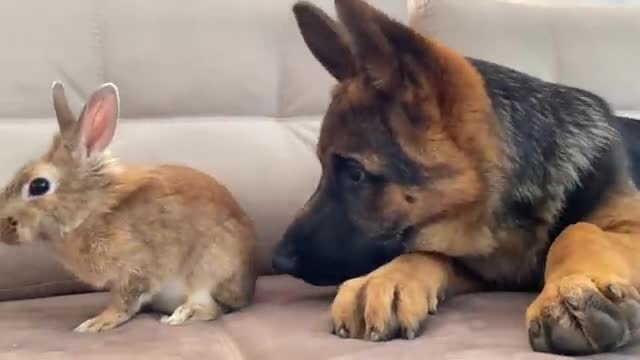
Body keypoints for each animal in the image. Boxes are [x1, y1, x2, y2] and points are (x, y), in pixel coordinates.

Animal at [0, 81, 255, 332]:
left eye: (39, 185)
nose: (2, 228)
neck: (91, 211)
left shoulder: (135, 270)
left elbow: (124, 302)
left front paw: (97, 323)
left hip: (207, 272)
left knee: (212, 308)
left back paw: (179, 316)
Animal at [272, 0, 640, 354]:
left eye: (355, 173)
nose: (277, 260)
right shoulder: (486, 271)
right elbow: (429, 252)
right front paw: (385, 278)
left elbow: (577, 229)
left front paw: (569, 288)